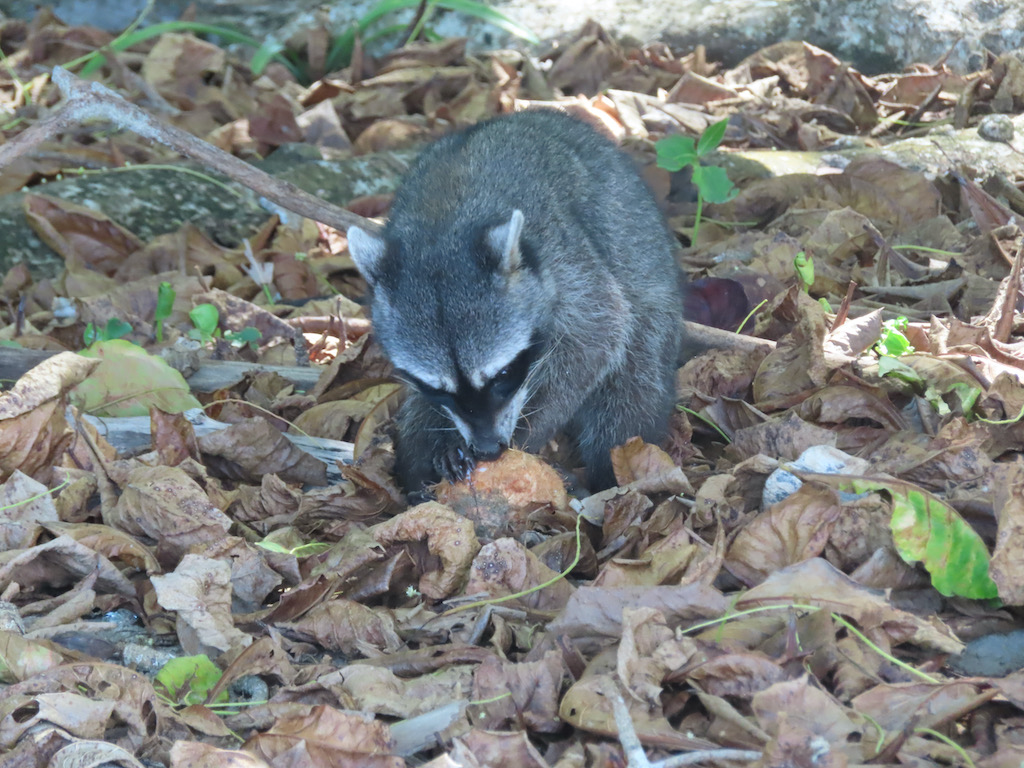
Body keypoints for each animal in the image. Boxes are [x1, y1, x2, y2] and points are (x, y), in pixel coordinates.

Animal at [347, 108, 683, 495]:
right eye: (438, 389)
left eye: (503, 375)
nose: (489, 450)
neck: (441, 228)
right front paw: (441, 444)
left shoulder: (566, 259)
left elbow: (598, 335)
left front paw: (530, 428)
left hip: (652, 308)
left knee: (632, 385)